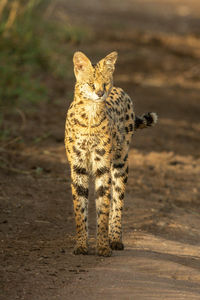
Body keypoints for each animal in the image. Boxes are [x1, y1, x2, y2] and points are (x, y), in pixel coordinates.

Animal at [65, 51, 157, 255]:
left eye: (105, 83)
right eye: (91, 83)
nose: (100, 93)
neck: (90, 114)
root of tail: (122, 90)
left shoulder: (102, 166)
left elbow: (104, 206)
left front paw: (102, 246)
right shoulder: (78, 165)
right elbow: (79, 208)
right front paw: (81, 245)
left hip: (121, 163)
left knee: (118, 200)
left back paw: (115, 239)